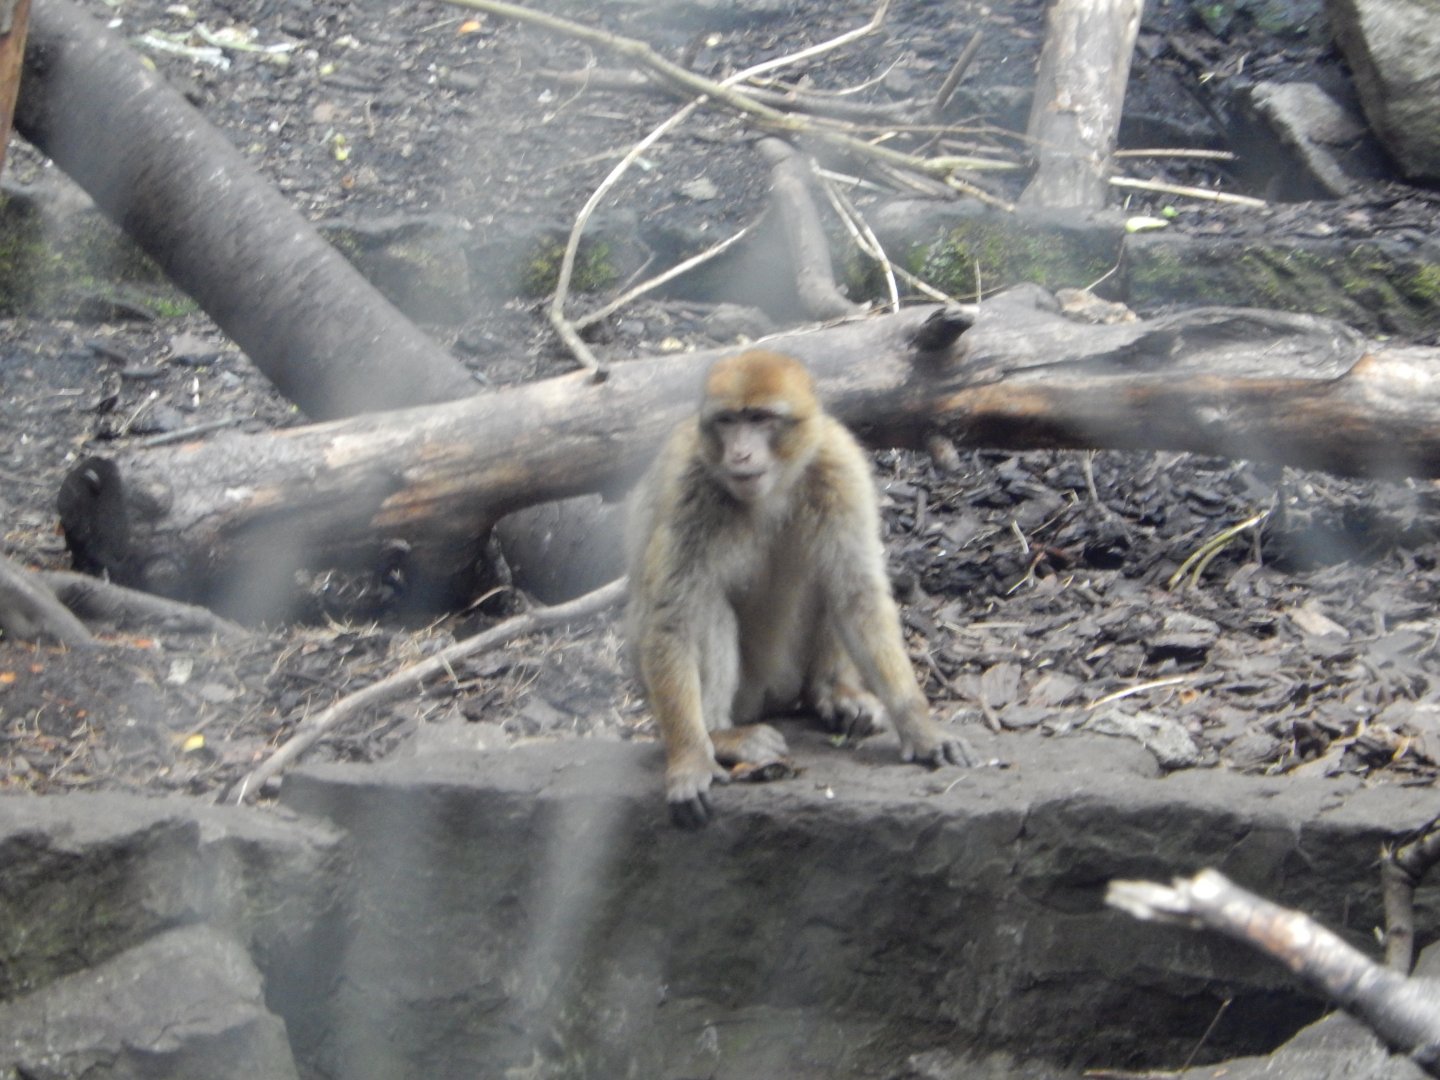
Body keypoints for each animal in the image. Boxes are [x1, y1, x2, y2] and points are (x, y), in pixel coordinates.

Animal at [625, 349, 975, 827]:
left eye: (760, 418)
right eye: (727, 421)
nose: (740, 452)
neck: (773, 489)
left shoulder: (839, 464)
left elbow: (857, 595)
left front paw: (920, 728)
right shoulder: (689, 489)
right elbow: (671, 620)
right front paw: (691, 760)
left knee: (830, 581)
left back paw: (831, 693)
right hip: (745, 692)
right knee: (705, 607)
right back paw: (722, 735)